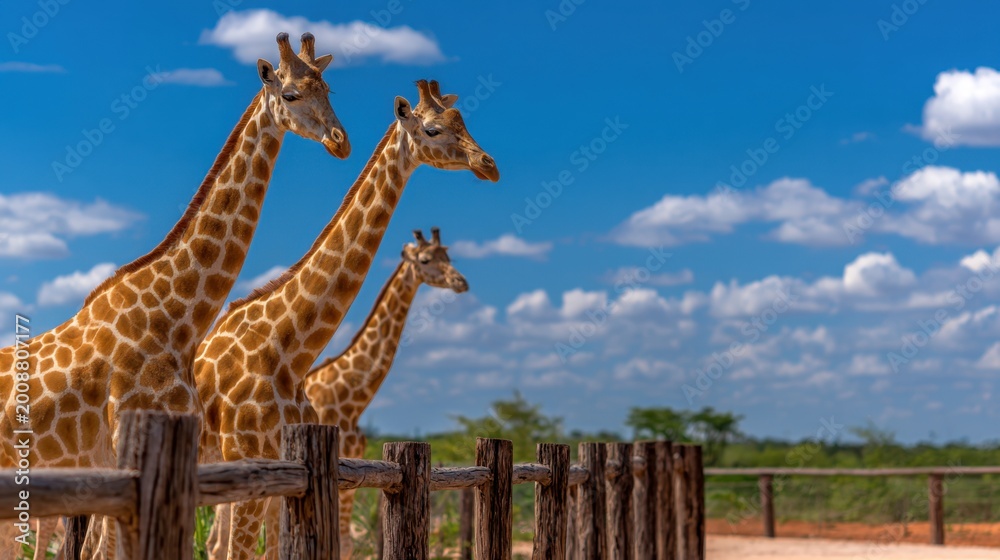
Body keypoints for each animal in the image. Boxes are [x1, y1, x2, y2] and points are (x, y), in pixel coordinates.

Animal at [302, 227, 467, 557]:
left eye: (449, 257)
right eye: (426, 259)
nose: (461, 282)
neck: (352, 401)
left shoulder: (351, 468)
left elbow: (346, 543)